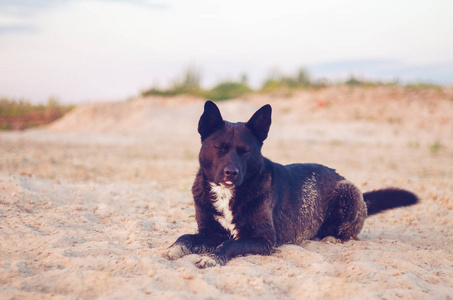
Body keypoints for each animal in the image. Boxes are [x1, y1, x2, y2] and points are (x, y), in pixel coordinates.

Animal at [162, 100, 416, 268]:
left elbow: (228, 245)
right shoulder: (210, 232)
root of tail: (340, 176)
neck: (228, 193)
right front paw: (173, 249)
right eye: (219, 148)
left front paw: (212, 257)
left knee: (346, 232)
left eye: (245, 151)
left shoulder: (263, 240)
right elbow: (186, 237)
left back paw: (331, 237)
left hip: (348, 191)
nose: (231, 173)